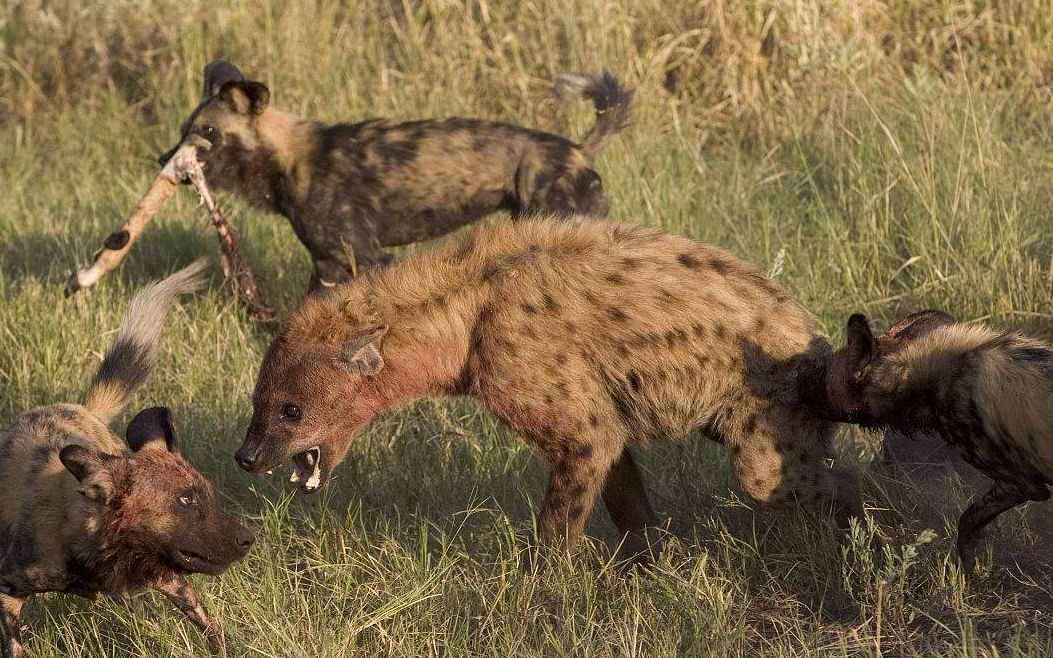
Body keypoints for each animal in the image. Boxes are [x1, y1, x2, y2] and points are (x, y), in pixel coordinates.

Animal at [0, 262, 253, 656]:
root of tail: (82, 410)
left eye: (209, 496)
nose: (247, 538)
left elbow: (212, 628)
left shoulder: (169, 576)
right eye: (186, 500)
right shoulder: (8, 590)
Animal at [156, 59, 631, 290]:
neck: (286, 161)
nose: (163, 161)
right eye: (182, 130)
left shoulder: (368, 258)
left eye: (208, 133)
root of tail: (578, 149)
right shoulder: (328, 265)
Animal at [236, 217, 863, 560]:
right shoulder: (602, 418)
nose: (245, 456)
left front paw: (541, 593)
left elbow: (559, 523)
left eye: (291, 410)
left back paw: (859, 534)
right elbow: (628, 498)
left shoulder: (568, 415)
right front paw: (652, 566)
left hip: (767, 419)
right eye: (258, 402)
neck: (464, 313)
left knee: (797, 476)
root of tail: (817, 340)